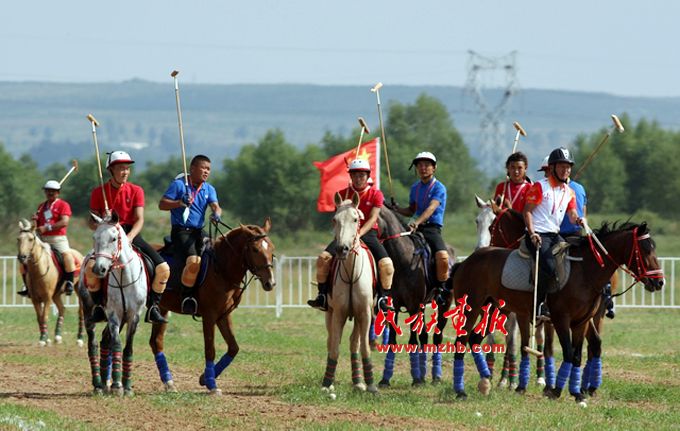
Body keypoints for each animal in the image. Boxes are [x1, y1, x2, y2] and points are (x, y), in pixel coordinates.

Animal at [78, 212, 147, 396]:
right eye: (94, 237)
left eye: (114, 238)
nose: (99, 269)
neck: (124, 278)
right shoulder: (114, 315)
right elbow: (116, 344)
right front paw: (117, 386)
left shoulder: (133, 316)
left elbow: (128, 348)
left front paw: (127, 387)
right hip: (88, 312)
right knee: (93, 344)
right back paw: (98, 384)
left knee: (104, 341)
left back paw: (104, 382)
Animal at [149, 218, 276, 395]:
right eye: (255, 249)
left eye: (272, 248)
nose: (270, 282)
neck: (221, 269)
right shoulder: (209, 316)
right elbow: (210, 349)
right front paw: (211, 384)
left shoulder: (223, 315)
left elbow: (233, 348)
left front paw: (204, 378)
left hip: (161, 310)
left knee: (156, 341)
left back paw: (169, 382)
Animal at [320, 193, 377, 397]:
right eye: (335, 220)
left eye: (355, 219)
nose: (342, 249)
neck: (352, 274)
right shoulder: (338, 313)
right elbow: (335, 347)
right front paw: (327, 384)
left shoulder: (365, 314)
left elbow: (365, 347)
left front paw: (371, 384)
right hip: (329, 314)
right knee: (331, 341)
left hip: (360, 318)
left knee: (354, 343)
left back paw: (359, 381)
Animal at [376, 205, 455, 387]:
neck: (402, 261)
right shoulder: (394, 307)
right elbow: (392, 341)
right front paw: (385, 379)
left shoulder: (413, 306)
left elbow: (413, 341)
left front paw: (417, 379)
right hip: (422, 306)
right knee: (424, 335)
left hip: (444, 304)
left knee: (437, 336)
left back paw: (435, 376)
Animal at [449, 221, 663, 402]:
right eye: (645, 250)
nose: (659, 282)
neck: (584, 271)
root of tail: (466, 262)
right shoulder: (560, 319)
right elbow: (565, 352)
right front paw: (556, 390)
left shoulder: (581, 322)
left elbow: (576, 355)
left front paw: (576, 392)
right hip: (472, 308)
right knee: (461, 341)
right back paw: (460, 391)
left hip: (497, 310)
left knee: (474, 338)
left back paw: (485, 381)